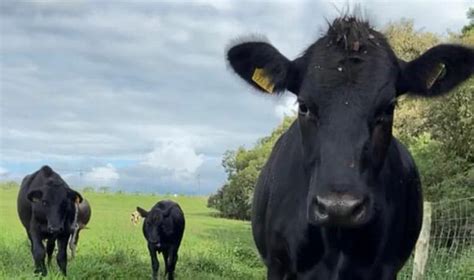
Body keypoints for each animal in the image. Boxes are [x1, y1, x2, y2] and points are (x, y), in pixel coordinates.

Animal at [226, 15, 474, 280]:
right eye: (303, 106)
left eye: (389, 107)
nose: (339, 208)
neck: (336, 244)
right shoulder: (278, 264)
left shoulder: (386, 268)